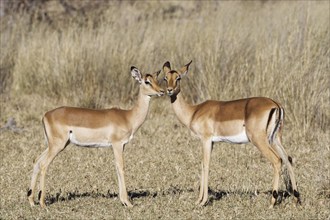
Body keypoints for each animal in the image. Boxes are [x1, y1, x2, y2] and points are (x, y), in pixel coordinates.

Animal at [27, 66, 164, 207]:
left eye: (157, 79)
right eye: (147, 81)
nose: (162, 91)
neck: (128, 117)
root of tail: (46, 115)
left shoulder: (121, 146)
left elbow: (116, 167)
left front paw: (122, 200)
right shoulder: (117, 144)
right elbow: (121, 167)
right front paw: (127, 202)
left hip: (55, 145)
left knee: (36, 161)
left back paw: (31, 201)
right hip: (57, 146)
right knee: (44, 165)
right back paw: (42, 202)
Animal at [163, 60, 302, 208]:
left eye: (178, 78)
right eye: (165, 78)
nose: (169, 90)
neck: (194, 111)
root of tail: (275, 104)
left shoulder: (206, 139)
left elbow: (205, 165)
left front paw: (202, 201)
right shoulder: (212, 142)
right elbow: (203, 165)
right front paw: (199, 200)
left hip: (259, 140)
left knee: (277, 160)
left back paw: (272, 202)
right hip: (275, 139)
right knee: (288, 159)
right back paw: (296, 199)